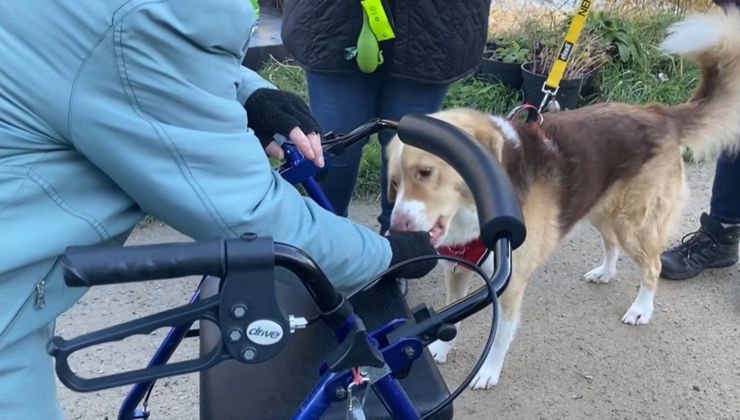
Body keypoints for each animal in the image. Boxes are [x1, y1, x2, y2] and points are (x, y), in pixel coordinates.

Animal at [384, 5, 740, 390]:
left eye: (424, 172)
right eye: (394, 182)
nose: (395, 231)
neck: (482, 202)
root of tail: (658, 113)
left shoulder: (510, 285)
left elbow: (499, 337)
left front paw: (488, 371)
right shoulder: (460, 270)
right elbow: (452, 317)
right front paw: (439, 348)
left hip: (634, 222)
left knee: (652, 266)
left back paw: (641, 308)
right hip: (602, 208)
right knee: (611, 244)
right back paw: (605, 272)